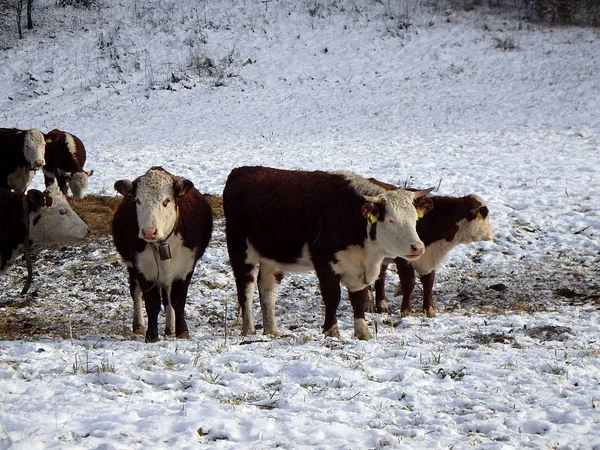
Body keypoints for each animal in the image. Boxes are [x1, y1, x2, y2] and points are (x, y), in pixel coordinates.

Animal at [112, 167, 213, 342]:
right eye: (138, 201)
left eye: (166, 201)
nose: (149, 232)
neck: (163, 244)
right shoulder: (142, 268)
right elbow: (152, 303)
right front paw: (151, 336)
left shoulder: (186, 267)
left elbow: (178, 300)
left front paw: (182, 331)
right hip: (132, 268)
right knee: (136, 293)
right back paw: (138, 325)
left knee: (167, 297)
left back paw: (170, 328)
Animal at [370, 178, 496, 318]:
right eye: (485, 216)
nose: (492, 234)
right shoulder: (403, 258)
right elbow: (409, 283)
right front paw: (406, 310)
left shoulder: (429, 258)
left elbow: (428, 282)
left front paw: (429, 309)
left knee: (380, 276)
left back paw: (381, 305)